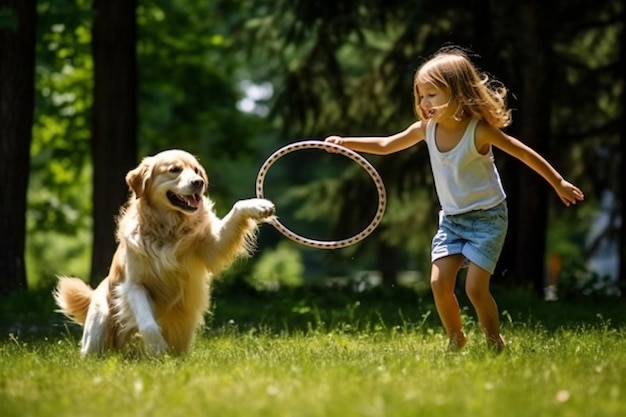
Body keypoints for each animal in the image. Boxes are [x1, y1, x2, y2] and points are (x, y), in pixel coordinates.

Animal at [54, 148, 274, 356]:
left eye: (196, 170)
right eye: (174, 169)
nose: (199, 182)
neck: (168, 229)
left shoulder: (211, 245)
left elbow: (236, 209)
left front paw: (257, 205)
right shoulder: (133, 285)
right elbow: (148, 323)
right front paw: (157, 348)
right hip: (99, 323)